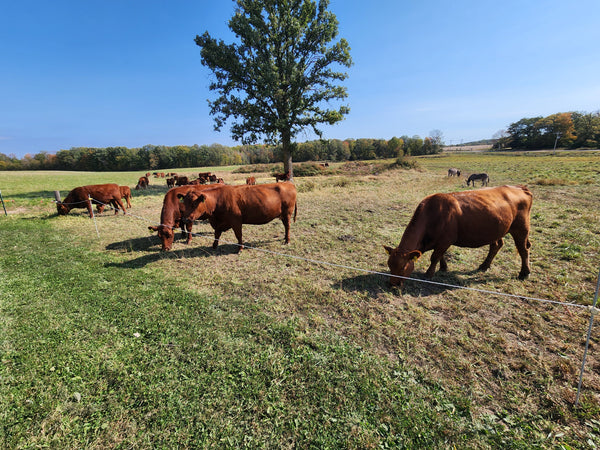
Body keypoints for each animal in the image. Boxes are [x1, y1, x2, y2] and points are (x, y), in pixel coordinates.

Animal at [382, 185, 532, 288]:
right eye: (389, 265)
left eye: (402, 267)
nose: (392, 284)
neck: (433, 214)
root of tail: (520, 188)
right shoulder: (440, 242)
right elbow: (440, 255)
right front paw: (443, 268)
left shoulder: (445, 240)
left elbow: (435, 257)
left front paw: (428, 274)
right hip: (497, 230)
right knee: (496, 245)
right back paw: (484, 265)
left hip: (521, 229)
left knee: (523, 250)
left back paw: (524, 273)